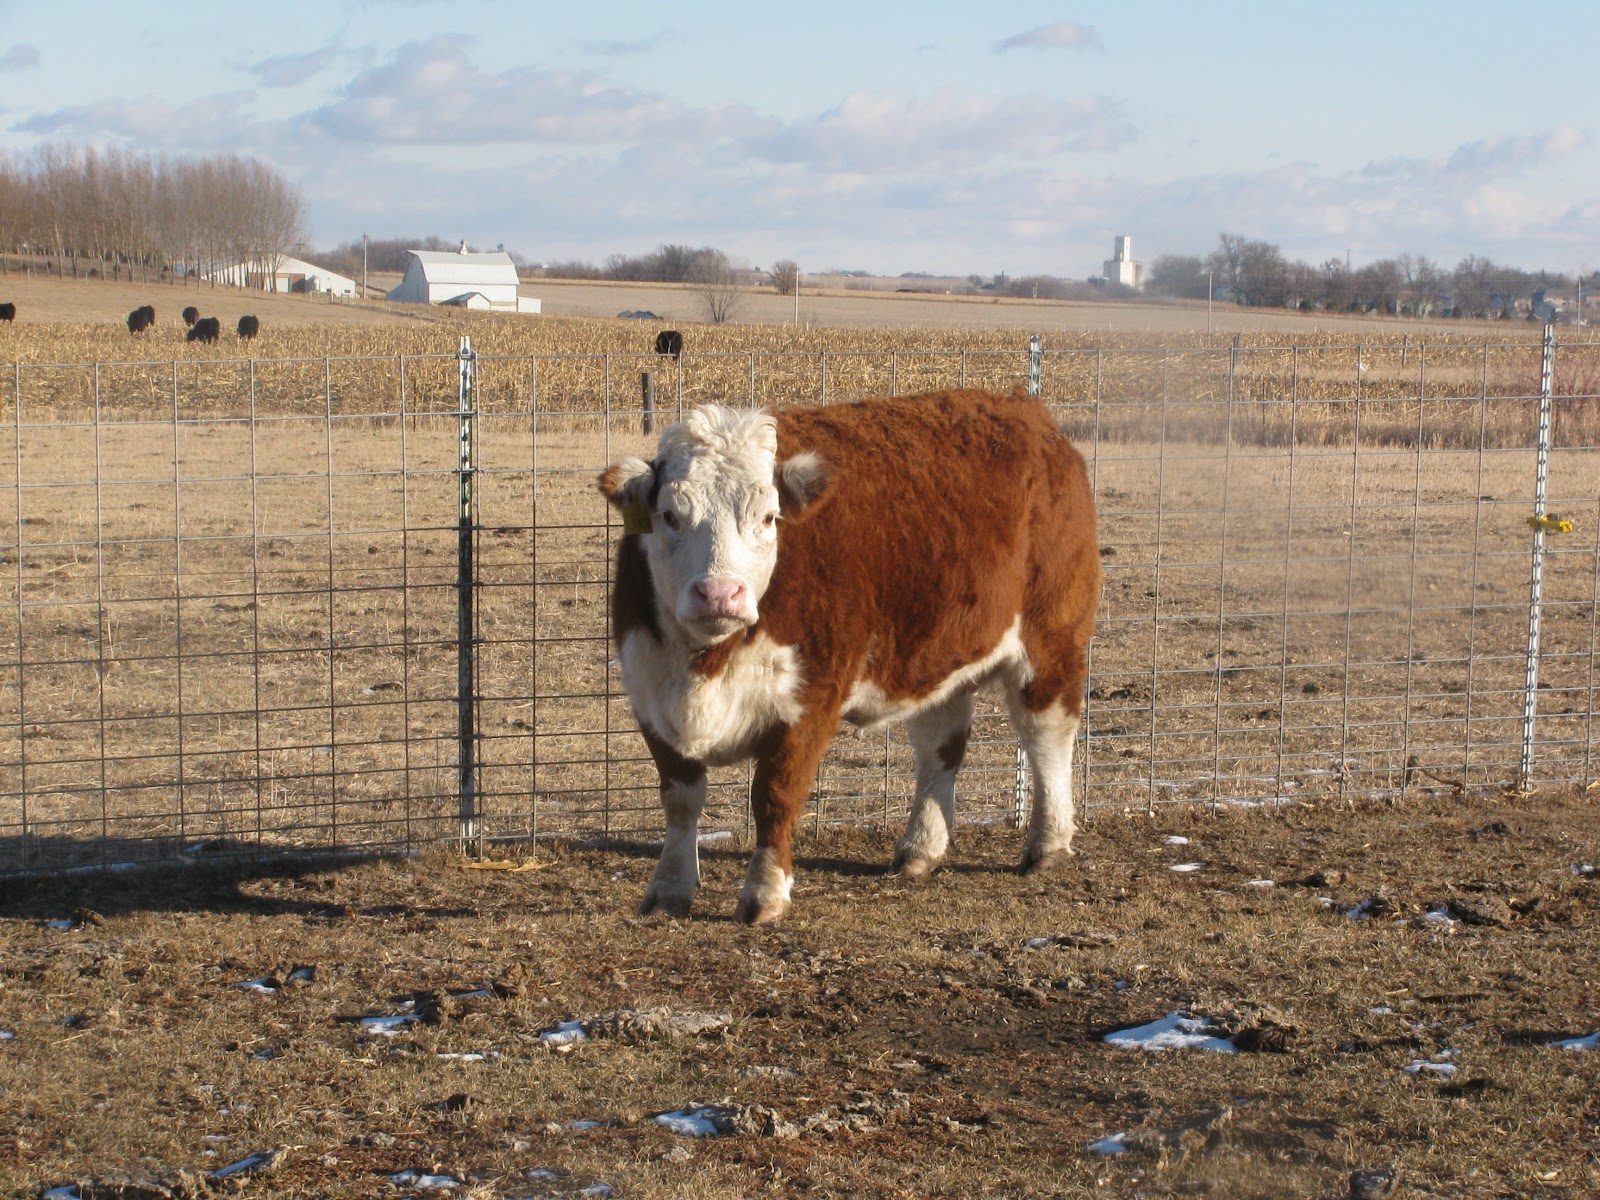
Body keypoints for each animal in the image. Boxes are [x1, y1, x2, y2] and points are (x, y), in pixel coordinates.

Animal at [598, 388, 1100, 924]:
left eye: (768, 517)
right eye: (670, 516)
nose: (719, 594)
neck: (705, 667)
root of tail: (1029, 412)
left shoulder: (809, 702)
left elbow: (775, 796)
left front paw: (765, 892)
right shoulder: (651, 695)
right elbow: (680, 800)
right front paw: (669, 889)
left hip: (1052, 637)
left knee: (1046, 734)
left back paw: (1048, 844)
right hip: (938, 650)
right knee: (940, 743)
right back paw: (920, 848)